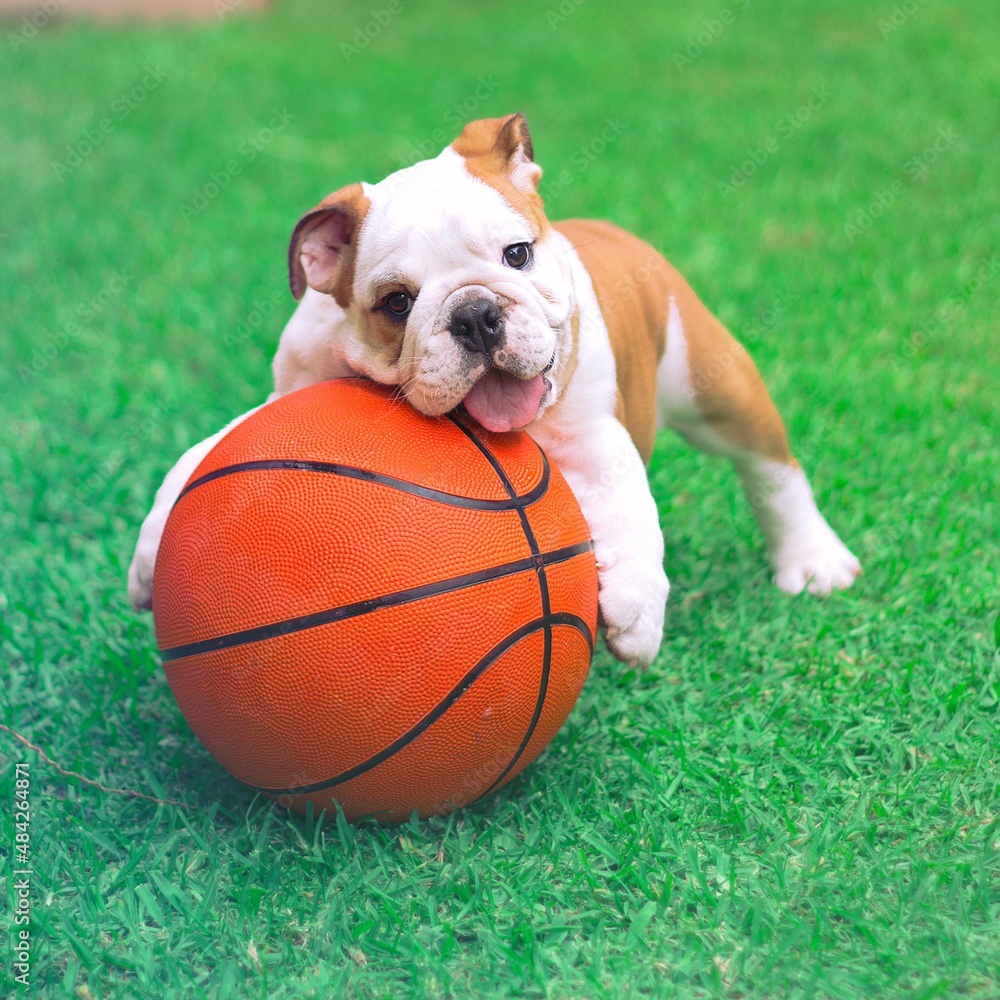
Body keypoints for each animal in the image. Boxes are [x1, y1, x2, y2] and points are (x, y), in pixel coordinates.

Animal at [125, 115, 860, 664]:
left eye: (517, 255)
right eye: (396, 302)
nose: (475, 314)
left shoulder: (594, 429)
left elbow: (625, 488)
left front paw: (638, 606)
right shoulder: (285, 398)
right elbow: (200, 454)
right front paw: (152, 551)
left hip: (713, 385)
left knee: (771, 467)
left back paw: (813, 559)